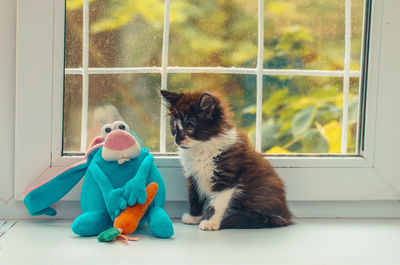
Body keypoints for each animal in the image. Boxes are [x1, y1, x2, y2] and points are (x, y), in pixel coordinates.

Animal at [161, 89, 292, 229]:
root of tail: (286, 216)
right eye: (174, 127)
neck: (201, 147)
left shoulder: (225, 177)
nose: (177, 140)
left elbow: (217, 203)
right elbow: (194, 197)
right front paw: (193, 217)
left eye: (189, 127)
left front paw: (210, 223)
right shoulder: (192, 176)